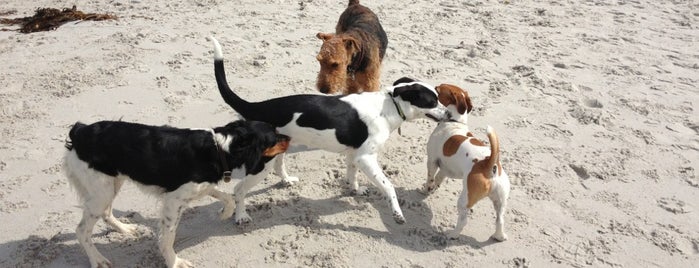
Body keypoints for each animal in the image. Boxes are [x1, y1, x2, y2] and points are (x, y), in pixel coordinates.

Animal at [65, 120, 290, 268]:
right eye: (274, 138)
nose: (289, 136)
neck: (219, 149)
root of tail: (79, 131)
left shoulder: (196, 188)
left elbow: (227, 198)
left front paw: (224, 213)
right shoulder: (173, 201)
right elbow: (168, 238)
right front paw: (174, 262)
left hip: (111, 184)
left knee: (105, 213)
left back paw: (126, 229)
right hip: (102, 191)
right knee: (82, 231)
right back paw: (98, 260)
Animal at [208, 35, 452, 224]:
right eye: (432, 101)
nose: (450, 115)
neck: (390, 105)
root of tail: (256, 106)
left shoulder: (355, 154)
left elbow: (352, 174)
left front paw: (355, 190)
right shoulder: (366, 157)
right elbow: (388, 186)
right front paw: (397, 213)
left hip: (278, 148)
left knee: (278, 167)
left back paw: (286, 180)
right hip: (261, 164)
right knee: (239, 190)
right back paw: (241, 216)